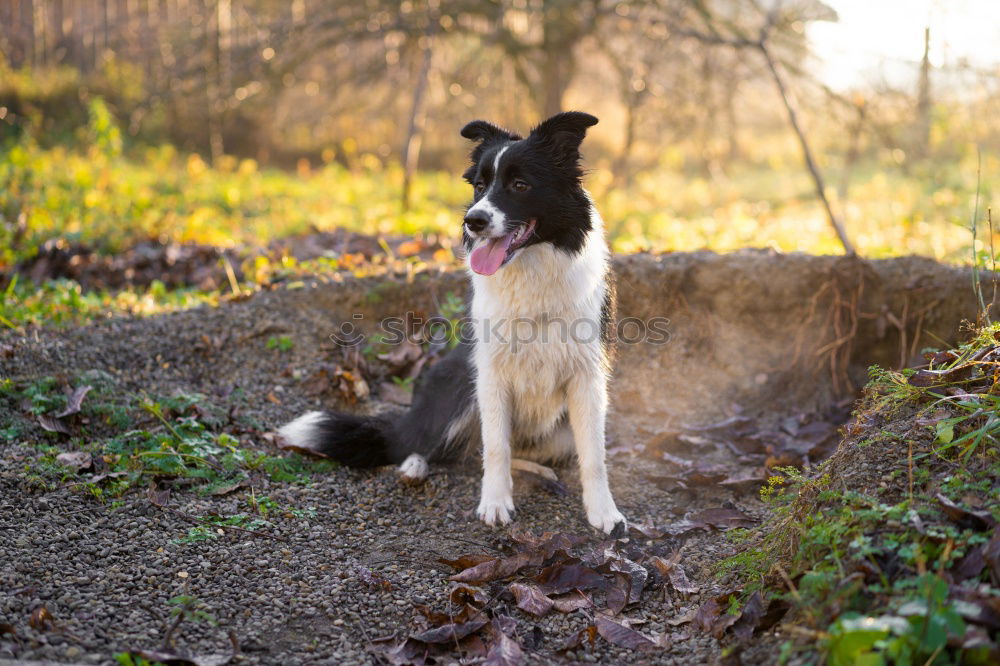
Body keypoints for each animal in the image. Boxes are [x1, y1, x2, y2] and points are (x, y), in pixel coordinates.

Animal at [280, 111, 624, 532]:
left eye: (520, 184)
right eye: (479, 185)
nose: (472, 221)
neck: (532, 271)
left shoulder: (587, 378)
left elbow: (593, 454)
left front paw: (603, 511)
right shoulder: (490, 373)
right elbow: (495, 447)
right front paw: (495, 502)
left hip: (553, 430)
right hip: (458, 381)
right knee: (417, 443)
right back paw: (414, 467)